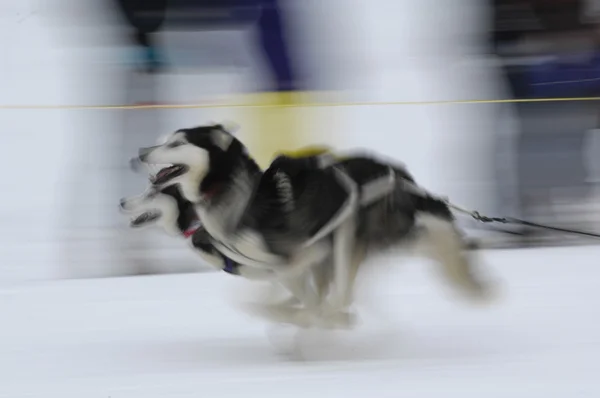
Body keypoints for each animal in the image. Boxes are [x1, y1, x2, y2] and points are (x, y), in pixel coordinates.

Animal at [134, 126, 494, 328]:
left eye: (176, 143)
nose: (140, 152)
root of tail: (404, 179)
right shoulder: (291, 268)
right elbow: (294, 299)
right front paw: (299, 317)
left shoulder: (303, 257)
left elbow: (297, 302)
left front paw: (308, 320)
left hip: (348, 234)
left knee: (341, 296)